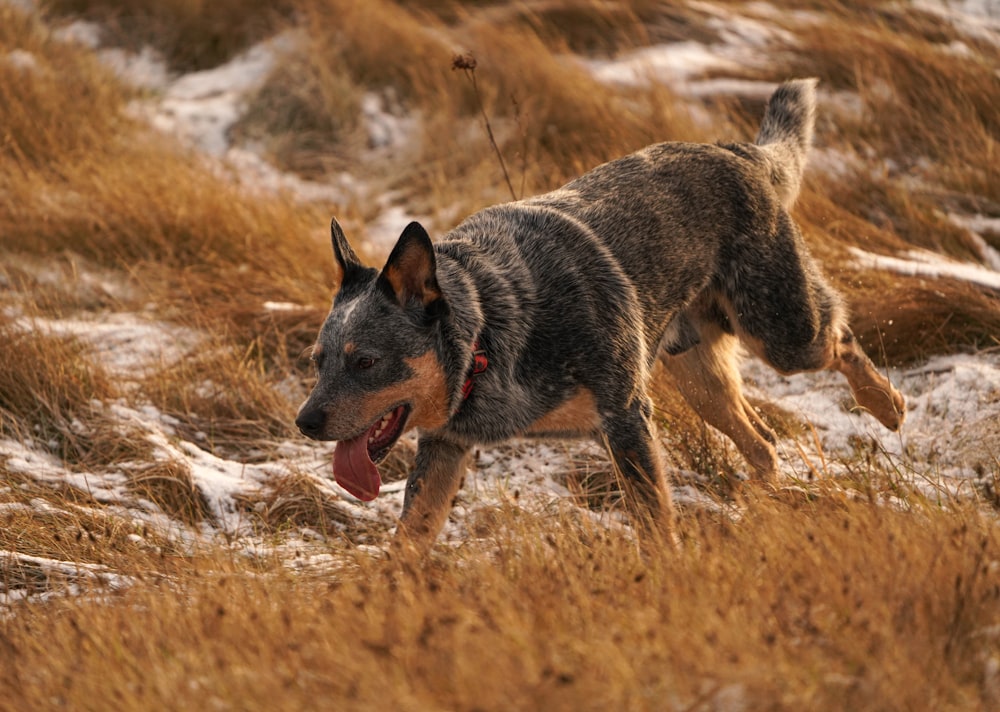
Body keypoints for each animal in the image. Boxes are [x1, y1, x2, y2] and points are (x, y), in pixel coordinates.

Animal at [294, 78, 908, 544]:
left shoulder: (625, 416)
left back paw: (887, 404)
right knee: (763, 442)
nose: (304, 422)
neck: (492, 331)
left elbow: (655, 525)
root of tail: (738, 151)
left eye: (366, 362)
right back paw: (764, 505)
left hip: (782, 333)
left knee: (839, 342)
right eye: (317, 361)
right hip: (700, 381)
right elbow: (409, 538)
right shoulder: (446, 446)